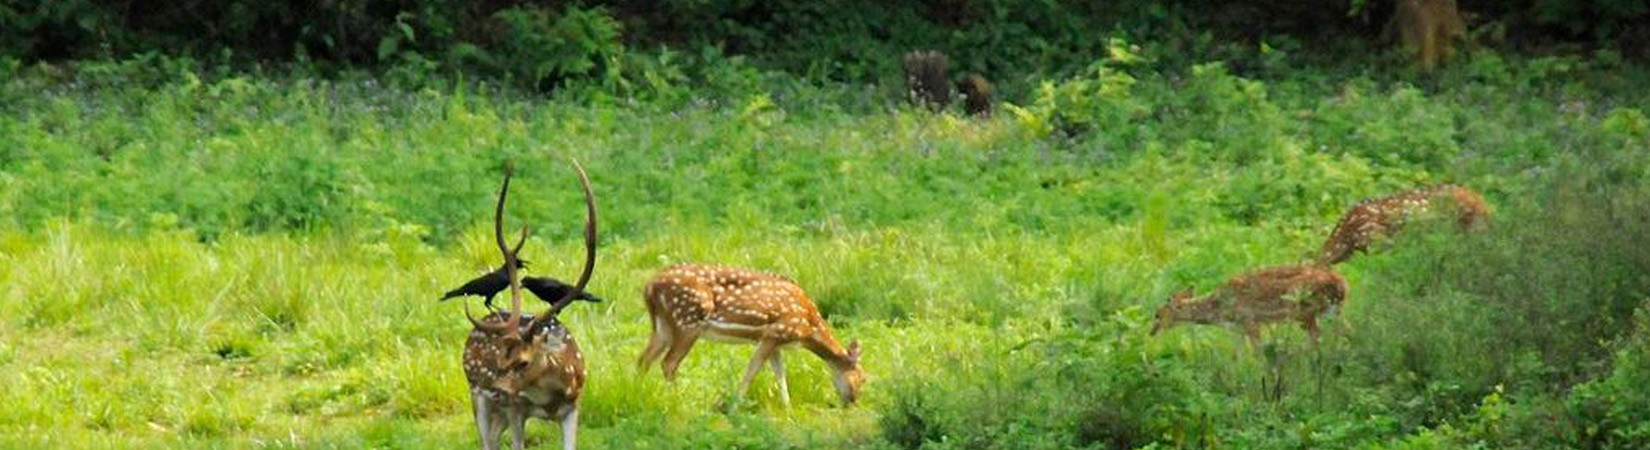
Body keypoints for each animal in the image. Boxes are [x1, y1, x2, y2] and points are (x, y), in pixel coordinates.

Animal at [462, 161, 597, 448]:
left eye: (523, 362)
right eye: (500, 358)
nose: (498, 387)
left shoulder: (574, 406)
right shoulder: (515, 406)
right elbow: (517, 444)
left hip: (497, 409)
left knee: (492, 437)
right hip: (477, 392)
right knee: (486, 440)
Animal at [633, 262, 871, 405]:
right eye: (863, 378)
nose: (853, 401)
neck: (808, 328)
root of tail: (649, 286)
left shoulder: (775, 342)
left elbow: (780, 374)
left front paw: (787, 407)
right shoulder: (775, 332)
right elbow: (752, 370)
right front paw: (737, 404)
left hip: (663, 326)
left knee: (644, 359)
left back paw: (640, 393)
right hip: (688, 321)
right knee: (668, 362)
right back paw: (678, 400)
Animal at [1148, 262, 1353, 349]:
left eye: (1157, 314)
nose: (1151, 332)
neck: (1220, 310)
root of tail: (1342, 284)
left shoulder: (1250, 321)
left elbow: (1258, 353)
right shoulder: (1238, 329)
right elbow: (1236, 356)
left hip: (1303, 309)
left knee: (1317, 335)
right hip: (1332, 310)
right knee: (1348, 331)